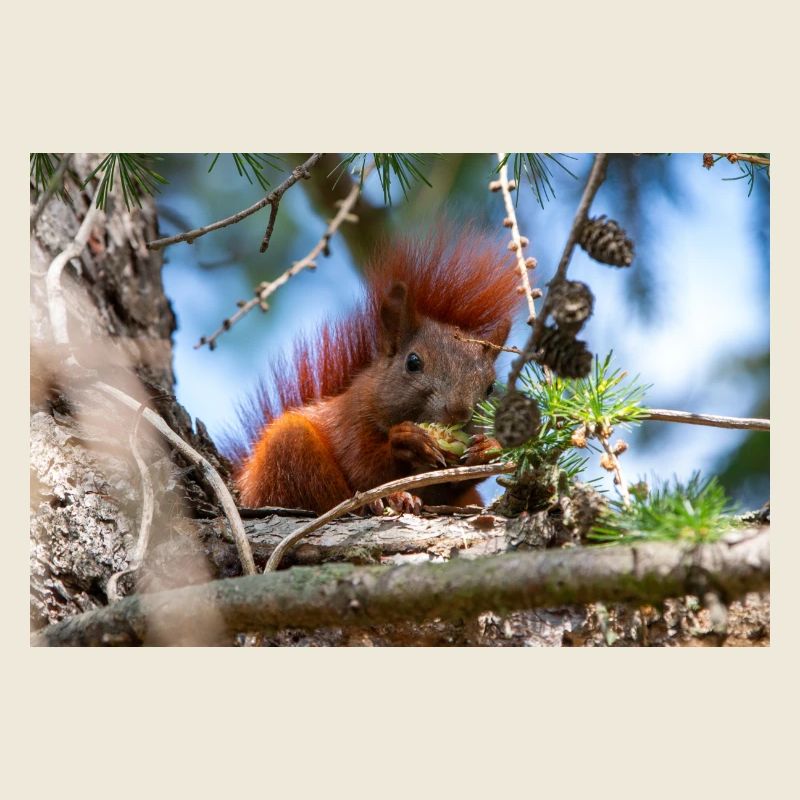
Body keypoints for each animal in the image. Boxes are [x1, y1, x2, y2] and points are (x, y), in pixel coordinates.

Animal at [230, 227, 520, 515]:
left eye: (490, 387)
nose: (458, 411)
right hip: (288, 451)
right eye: (413, 363)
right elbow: (364, 468)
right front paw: (405, 440)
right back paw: (388, 499)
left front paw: (489, 448)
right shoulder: (350, 422)